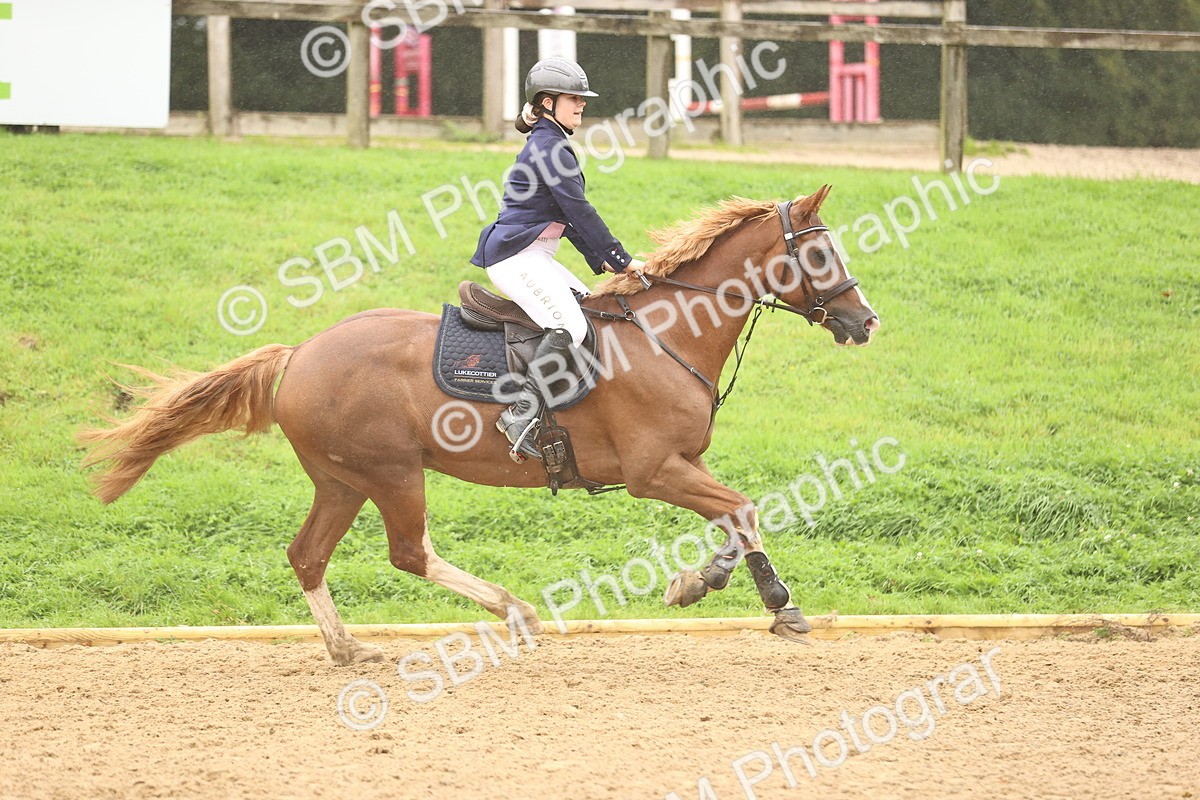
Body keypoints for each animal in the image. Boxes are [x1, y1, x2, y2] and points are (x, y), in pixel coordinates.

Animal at [79, 185, 879, 665]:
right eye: (818, 252)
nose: (865, 321)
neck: (667, 333)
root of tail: (300, 352)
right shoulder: (653, 471)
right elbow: (741, 509)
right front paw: (776, 605)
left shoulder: (682, 464)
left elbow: (736, 514)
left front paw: (699, 581)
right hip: (390, 472)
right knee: (408, 553)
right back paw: (515, 611)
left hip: (342, 480)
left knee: (307, 556)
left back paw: (349, 649)